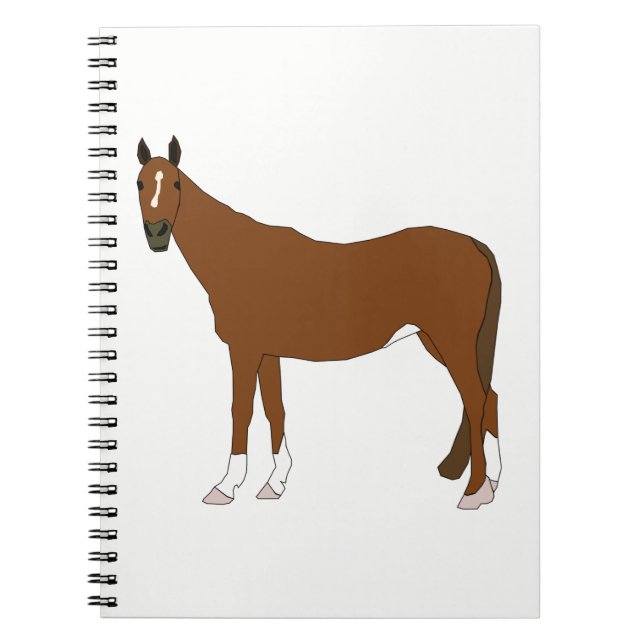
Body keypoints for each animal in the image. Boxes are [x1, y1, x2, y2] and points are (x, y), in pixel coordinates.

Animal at [135, 136, 502, 509]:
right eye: (139, 184)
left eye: (176, 184)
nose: (157, 234)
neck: (239, 257)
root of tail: (474, 245)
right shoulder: (267, 352)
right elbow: (275, 410)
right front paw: (275, 482)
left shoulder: (244, 350)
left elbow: (242, 411)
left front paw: (225, 486)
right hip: (437, 341)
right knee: (490, 398)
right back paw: (491, 483)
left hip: (452, 341)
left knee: (476, 401)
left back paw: (474, 492)